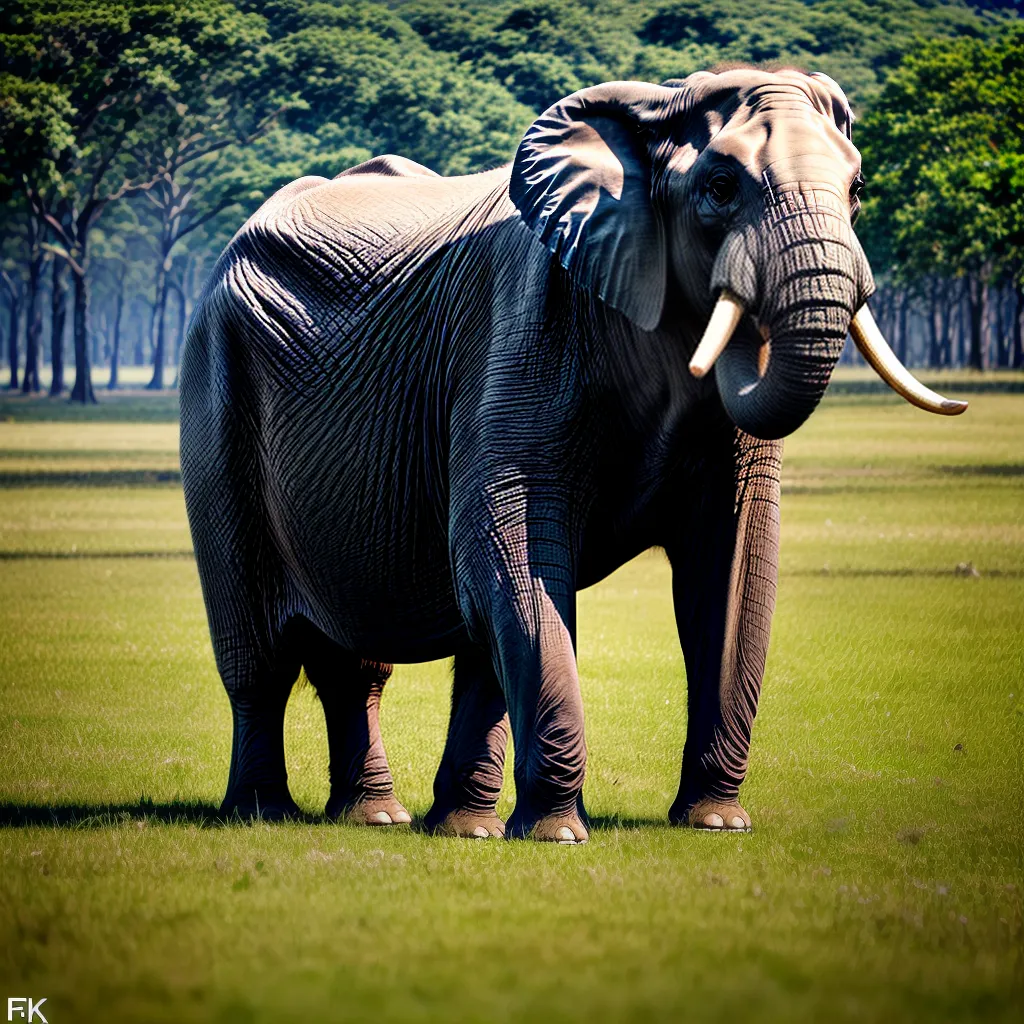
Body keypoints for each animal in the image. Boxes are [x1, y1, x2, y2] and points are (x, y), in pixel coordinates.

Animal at [179, 67, 965, 843]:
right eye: (719, 187)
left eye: (857, 189)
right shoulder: (527, 328)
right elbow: (509, 545)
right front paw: (558, 834)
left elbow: (731, 563)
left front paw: (715, 823)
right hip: (216, 390)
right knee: (260, 656)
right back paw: (265, 813)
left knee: (373, 660)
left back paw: (407, 820)